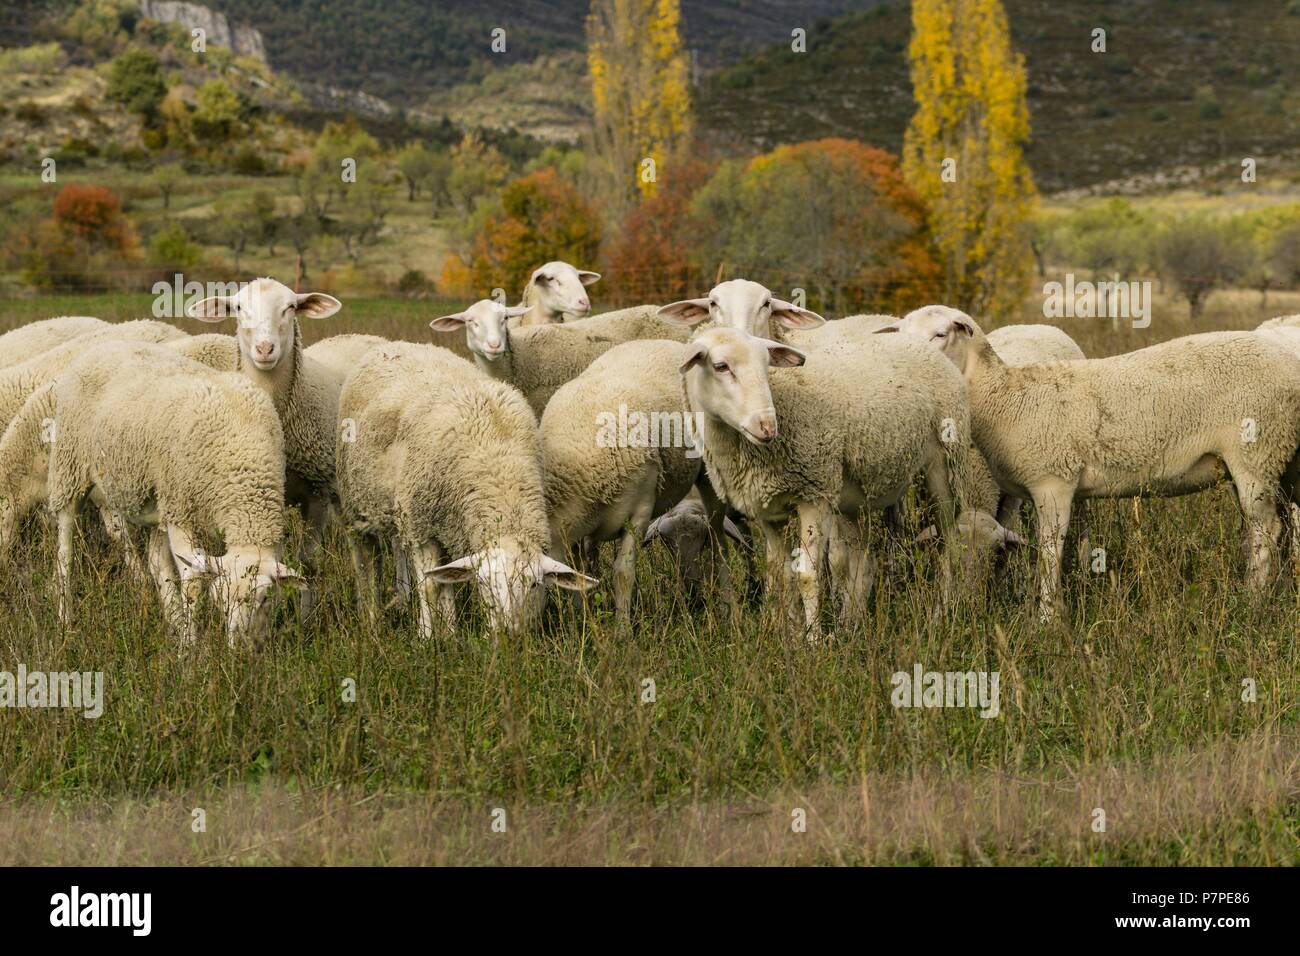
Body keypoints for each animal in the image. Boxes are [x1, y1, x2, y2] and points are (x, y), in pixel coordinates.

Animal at [37, 340, 301, 647]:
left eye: (264, 600)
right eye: (220, 602)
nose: (239, 649)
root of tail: (102, 345)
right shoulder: (181, 510)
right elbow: (193, 584)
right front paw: (189, 648)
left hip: (156, 498)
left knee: (155, 562)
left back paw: (172, 619)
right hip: (70, 466)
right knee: (65, 550)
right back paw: (65, 622)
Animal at [338, 340, 595, 639]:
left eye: (534, 585)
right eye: (484, 585)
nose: (508, 635)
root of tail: (393, 345)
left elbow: (445, 580)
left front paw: (451, 635)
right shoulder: (421, 526)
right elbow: (429, 586)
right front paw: (426, 638)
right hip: (357, 504)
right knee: (367, 560)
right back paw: (371, 616)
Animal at [540, 340, 743, 624]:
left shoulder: (639, 512)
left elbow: (623, 574)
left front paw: (622, 630)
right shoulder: (576, 530)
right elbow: (581, 573)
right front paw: (584, 619)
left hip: (709, 474)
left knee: (718, 542)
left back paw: (729, 609)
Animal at [676, 325, 972, 639]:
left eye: (766, 365)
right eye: (721, 366)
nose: (767, 427)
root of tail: (919, 343)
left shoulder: (814, 495)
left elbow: (808, 574)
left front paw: (814, 639)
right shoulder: (770, 512)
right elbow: (781, 573)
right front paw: (791, 636)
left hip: (945, 466)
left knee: (949, 544)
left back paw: (942, 613)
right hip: (853, 496)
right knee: (864, 557)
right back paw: (850, 624)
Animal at [889, 306, 1300, 621]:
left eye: (940, 334)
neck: (1005, 396)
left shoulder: (1053, 481)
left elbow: (1050, 551)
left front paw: (1048, 619)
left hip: (1257, 452)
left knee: (1268, 530)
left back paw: (1252, 602)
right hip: (1279, 458)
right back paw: (1279, 590)